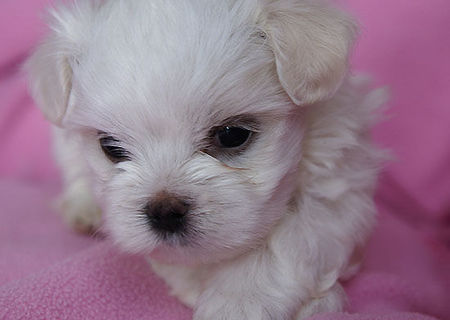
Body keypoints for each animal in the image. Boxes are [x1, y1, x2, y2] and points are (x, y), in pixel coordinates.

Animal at [26, 0, 384, 318]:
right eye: (110, 147)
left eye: (232, 135)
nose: (164, 211)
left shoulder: (336, 183)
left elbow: (290, 240)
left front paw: (239, 302)